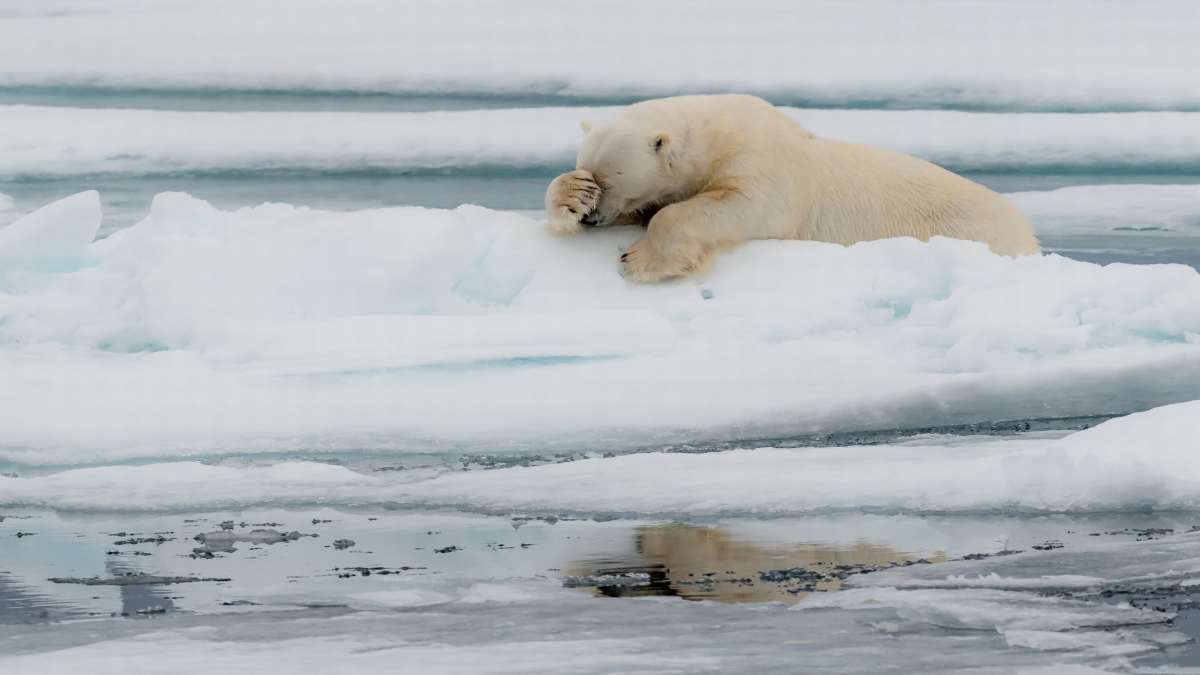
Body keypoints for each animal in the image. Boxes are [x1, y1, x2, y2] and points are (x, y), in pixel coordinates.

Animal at [547, 93, 1041, 279]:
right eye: (590, 170)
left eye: (612, 179)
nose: (592, 219)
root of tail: (1029, 236)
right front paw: (570, 197)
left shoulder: (764, 165)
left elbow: (739, 205)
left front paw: (639, 258)